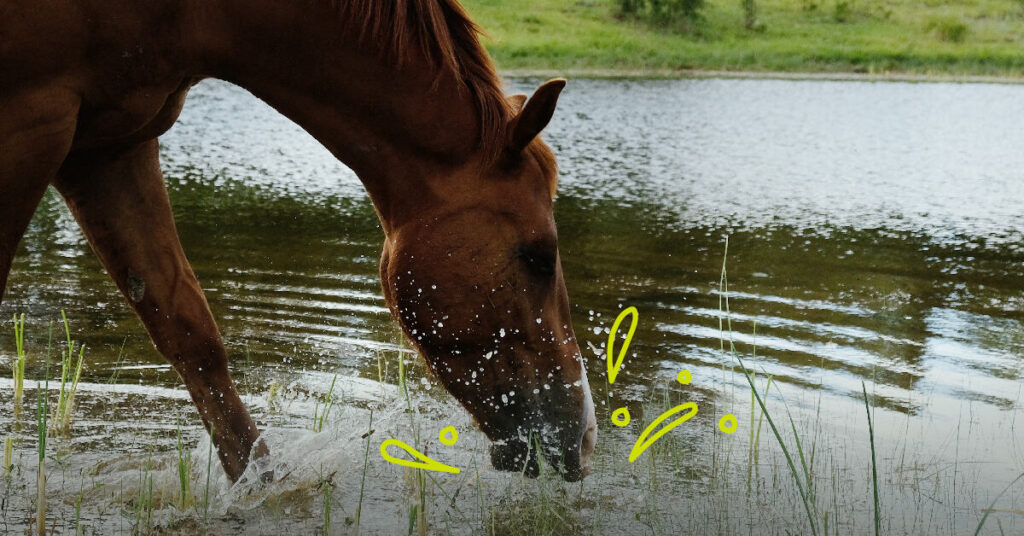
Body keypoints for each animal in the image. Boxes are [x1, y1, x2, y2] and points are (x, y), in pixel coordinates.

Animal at [0, 0, 597, 482]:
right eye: (539, 256)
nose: (584, 439)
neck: (189, 14)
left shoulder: (109, 146)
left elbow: (190, 332)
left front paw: (261, 488)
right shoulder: (30, 124)